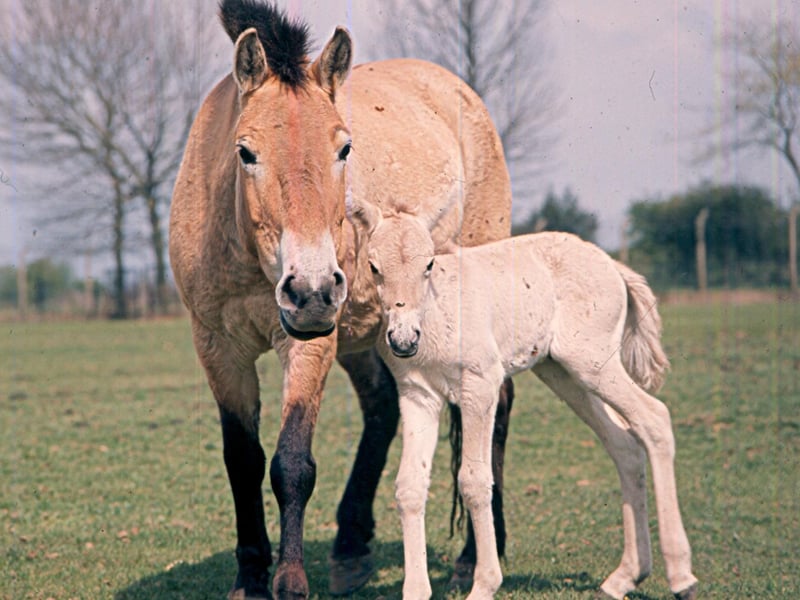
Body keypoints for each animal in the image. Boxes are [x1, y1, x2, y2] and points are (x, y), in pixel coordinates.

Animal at [168, 1, 513, 598]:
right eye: (245, 152)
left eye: (344, 148)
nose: (310, 290)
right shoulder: (217, 345)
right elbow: (243, 458)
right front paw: (250, 577)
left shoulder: (309, 340)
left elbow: (291, 461)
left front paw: (288, 582)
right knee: (382, 409)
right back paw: (352, 548)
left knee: (496, 406)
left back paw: (474, 557)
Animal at [346, 196, 699, 600]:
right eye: (374, 266)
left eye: (429, 264)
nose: (404, 340)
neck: (437, 311)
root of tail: (613, 265)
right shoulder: (418, 396)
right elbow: (409, 486)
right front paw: (416, 590)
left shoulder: (480, 386)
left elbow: (474, 481)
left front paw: (484, 584)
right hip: (562, 371)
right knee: (624, 443)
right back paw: (624, 576)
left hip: (593, 362)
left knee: (654, 418)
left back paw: (681, 576)